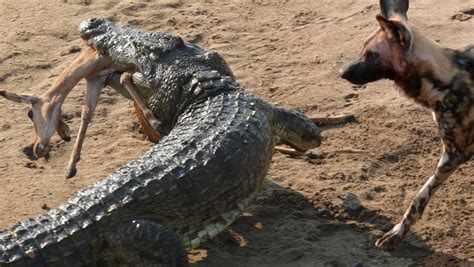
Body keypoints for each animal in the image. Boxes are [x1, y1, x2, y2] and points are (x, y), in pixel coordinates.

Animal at [338, 0, 472, 251]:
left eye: (372, 55)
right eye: (362, 49)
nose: (341, 72)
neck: (443, 80)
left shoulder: (455, 154)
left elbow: (419, 197)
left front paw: (397, 234)